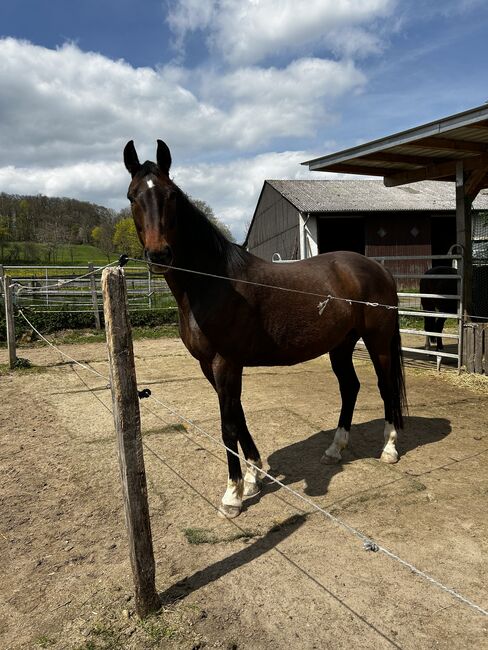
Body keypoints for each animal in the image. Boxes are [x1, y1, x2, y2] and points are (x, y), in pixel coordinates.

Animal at [123, 139, 408, 520]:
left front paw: (232, 495)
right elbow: (239, 417)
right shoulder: (211, 366)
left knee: (385, 387)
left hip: (376, 342)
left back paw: (389, 449)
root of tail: (379, 269)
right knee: (350, 387)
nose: (159, 255)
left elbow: (228, 426)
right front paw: (254, 476)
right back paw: (335, 448)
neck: (214, 282)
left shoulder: (225, 362)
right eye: (132, 196)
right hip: (341, 345)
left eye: (171, 195)